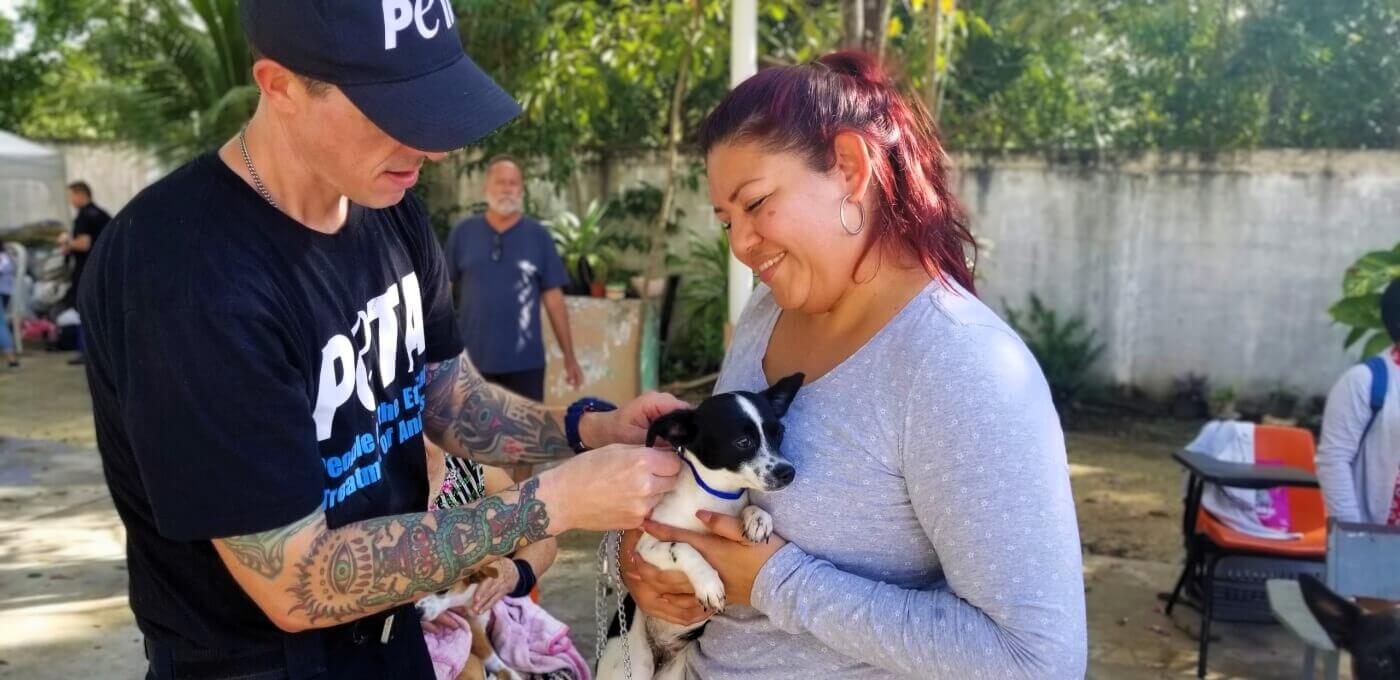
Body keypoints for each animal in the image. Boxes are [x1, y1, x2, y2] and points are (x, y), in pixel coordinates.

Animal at [596, 374, 806, 677]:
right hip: (632, 664)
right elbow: (682, 546)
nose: (788, 472)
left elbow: (751, 507)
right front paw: (708, 582)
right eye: (743, 441)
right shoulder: (645, 548)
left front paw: (758, 518)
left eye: (778, 433)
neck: (717, 497)